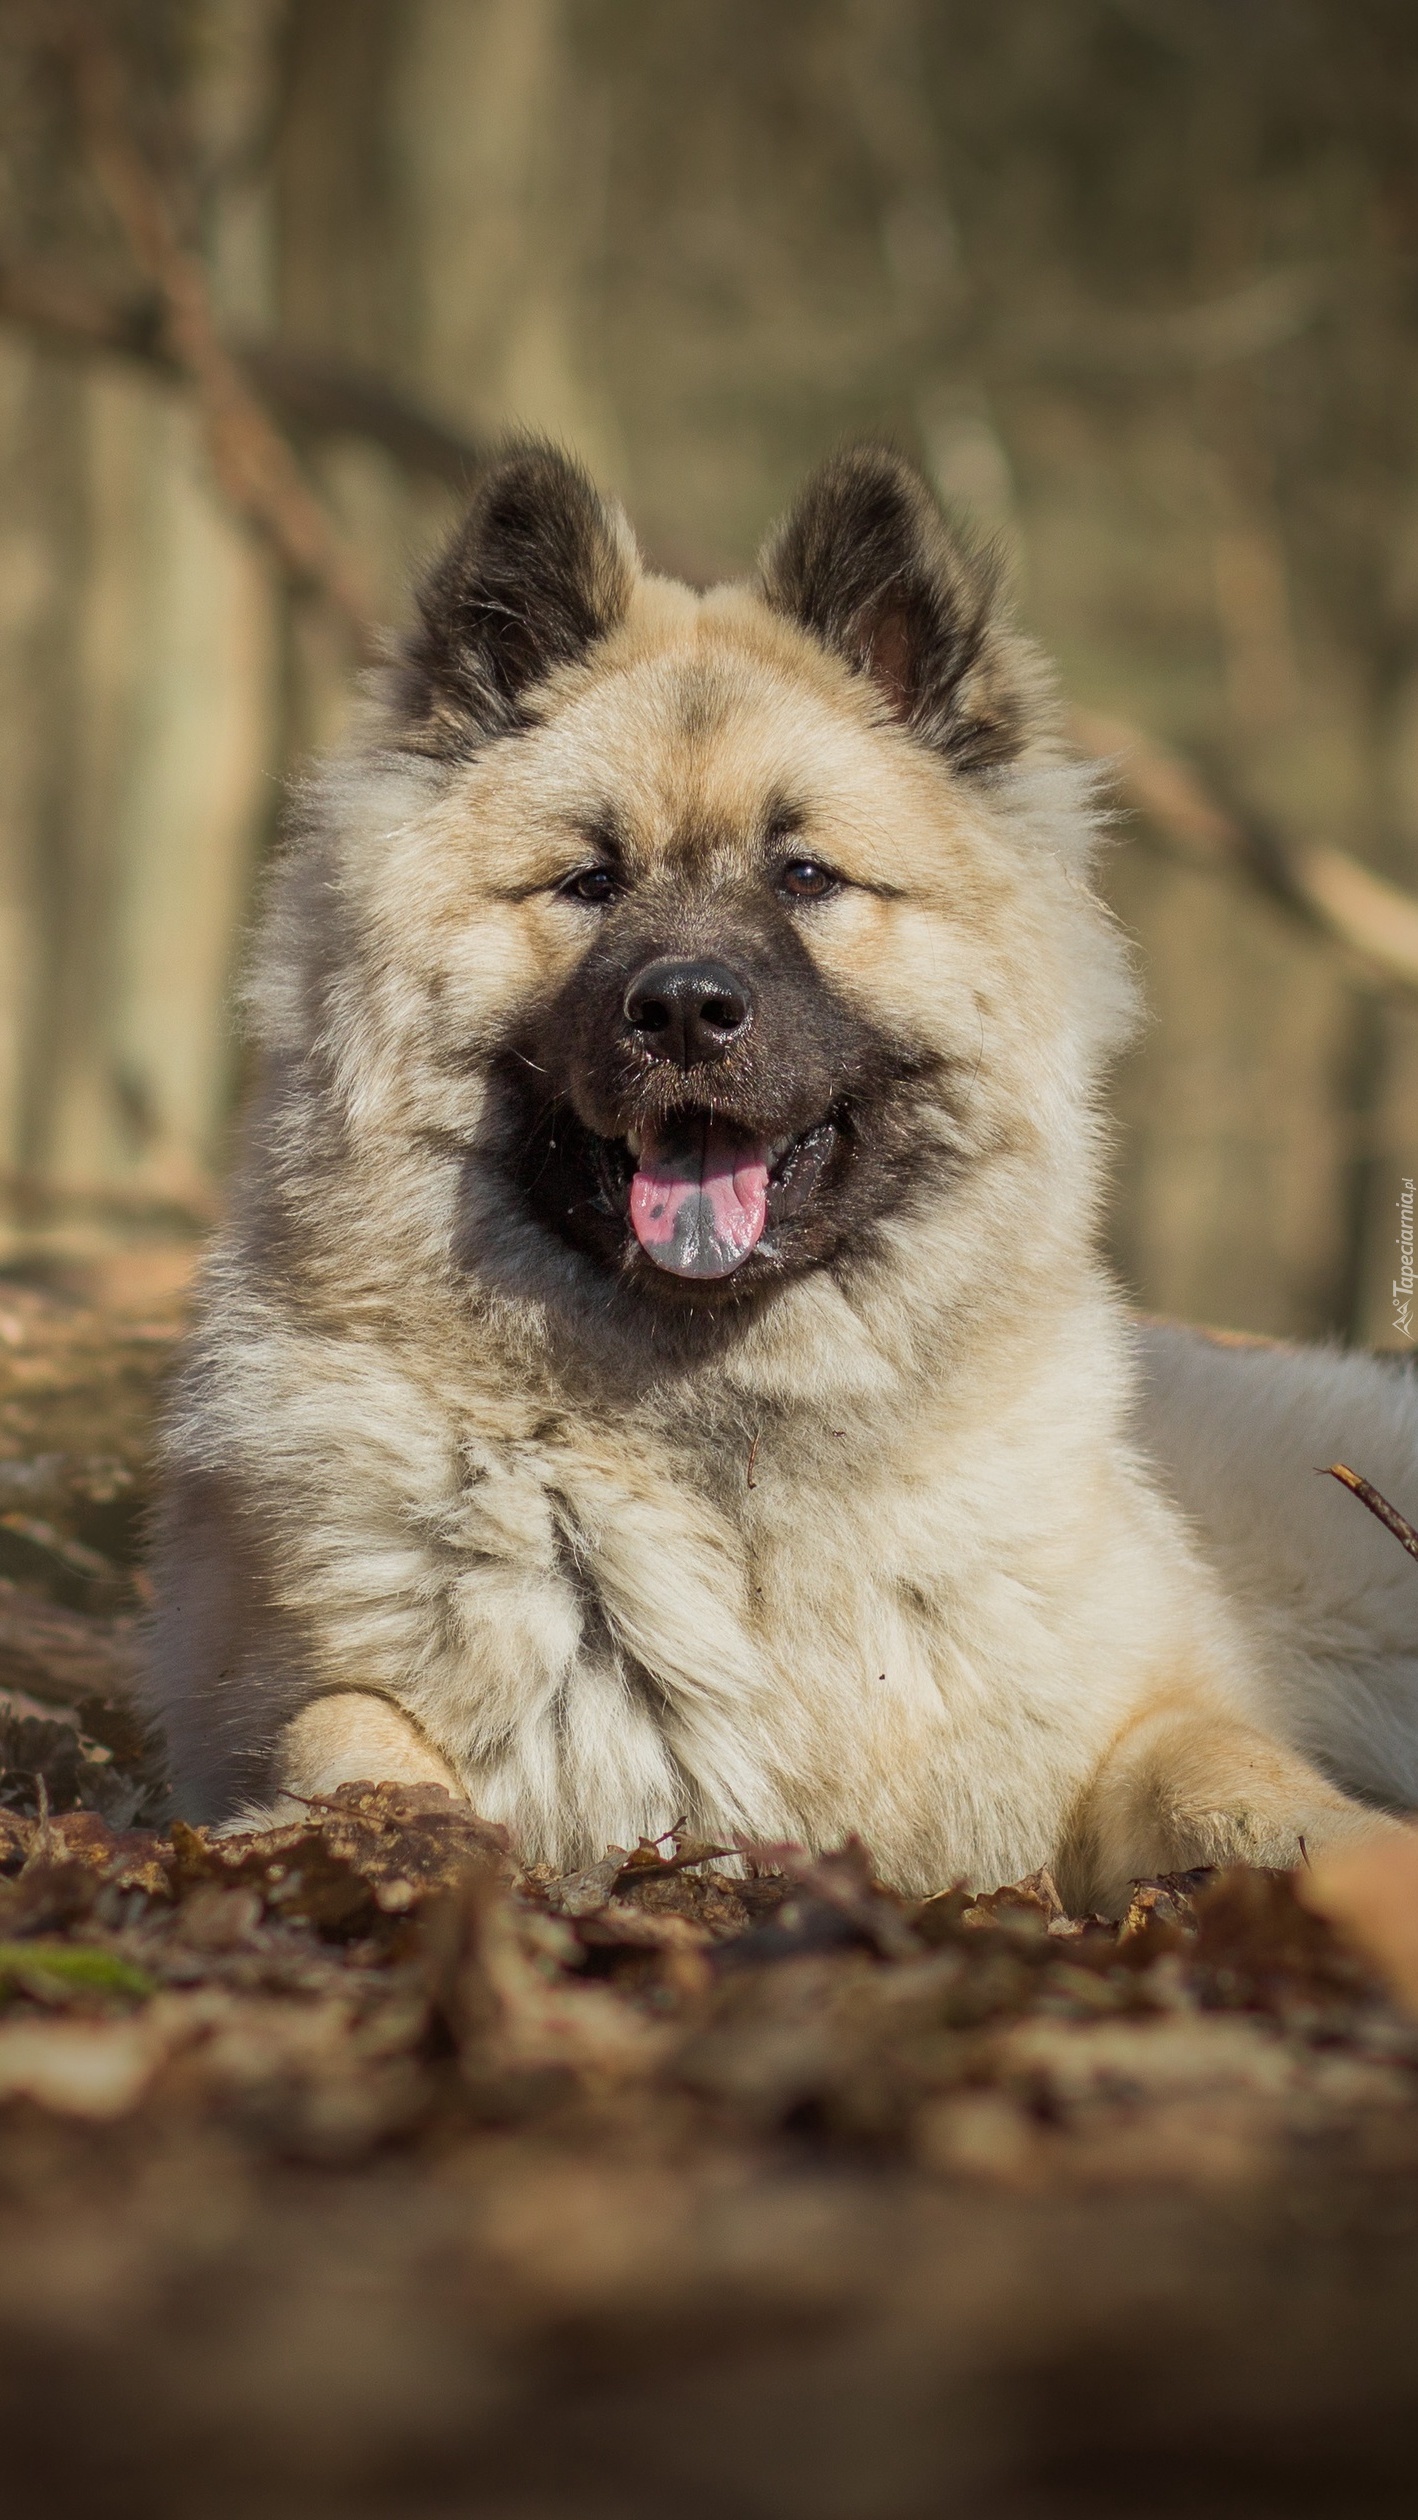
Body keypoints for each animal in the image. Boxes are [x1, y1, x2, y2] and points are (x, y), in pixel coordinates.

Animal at [149, 438, 1418, 1905]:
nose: (686, 1010)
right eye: (589, 881)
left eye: (805, 875)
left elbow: (1229, 1774)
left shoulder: (1139, 1717)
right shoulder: (305, 1700)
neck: (728, 1450)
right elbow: (348, 1730)